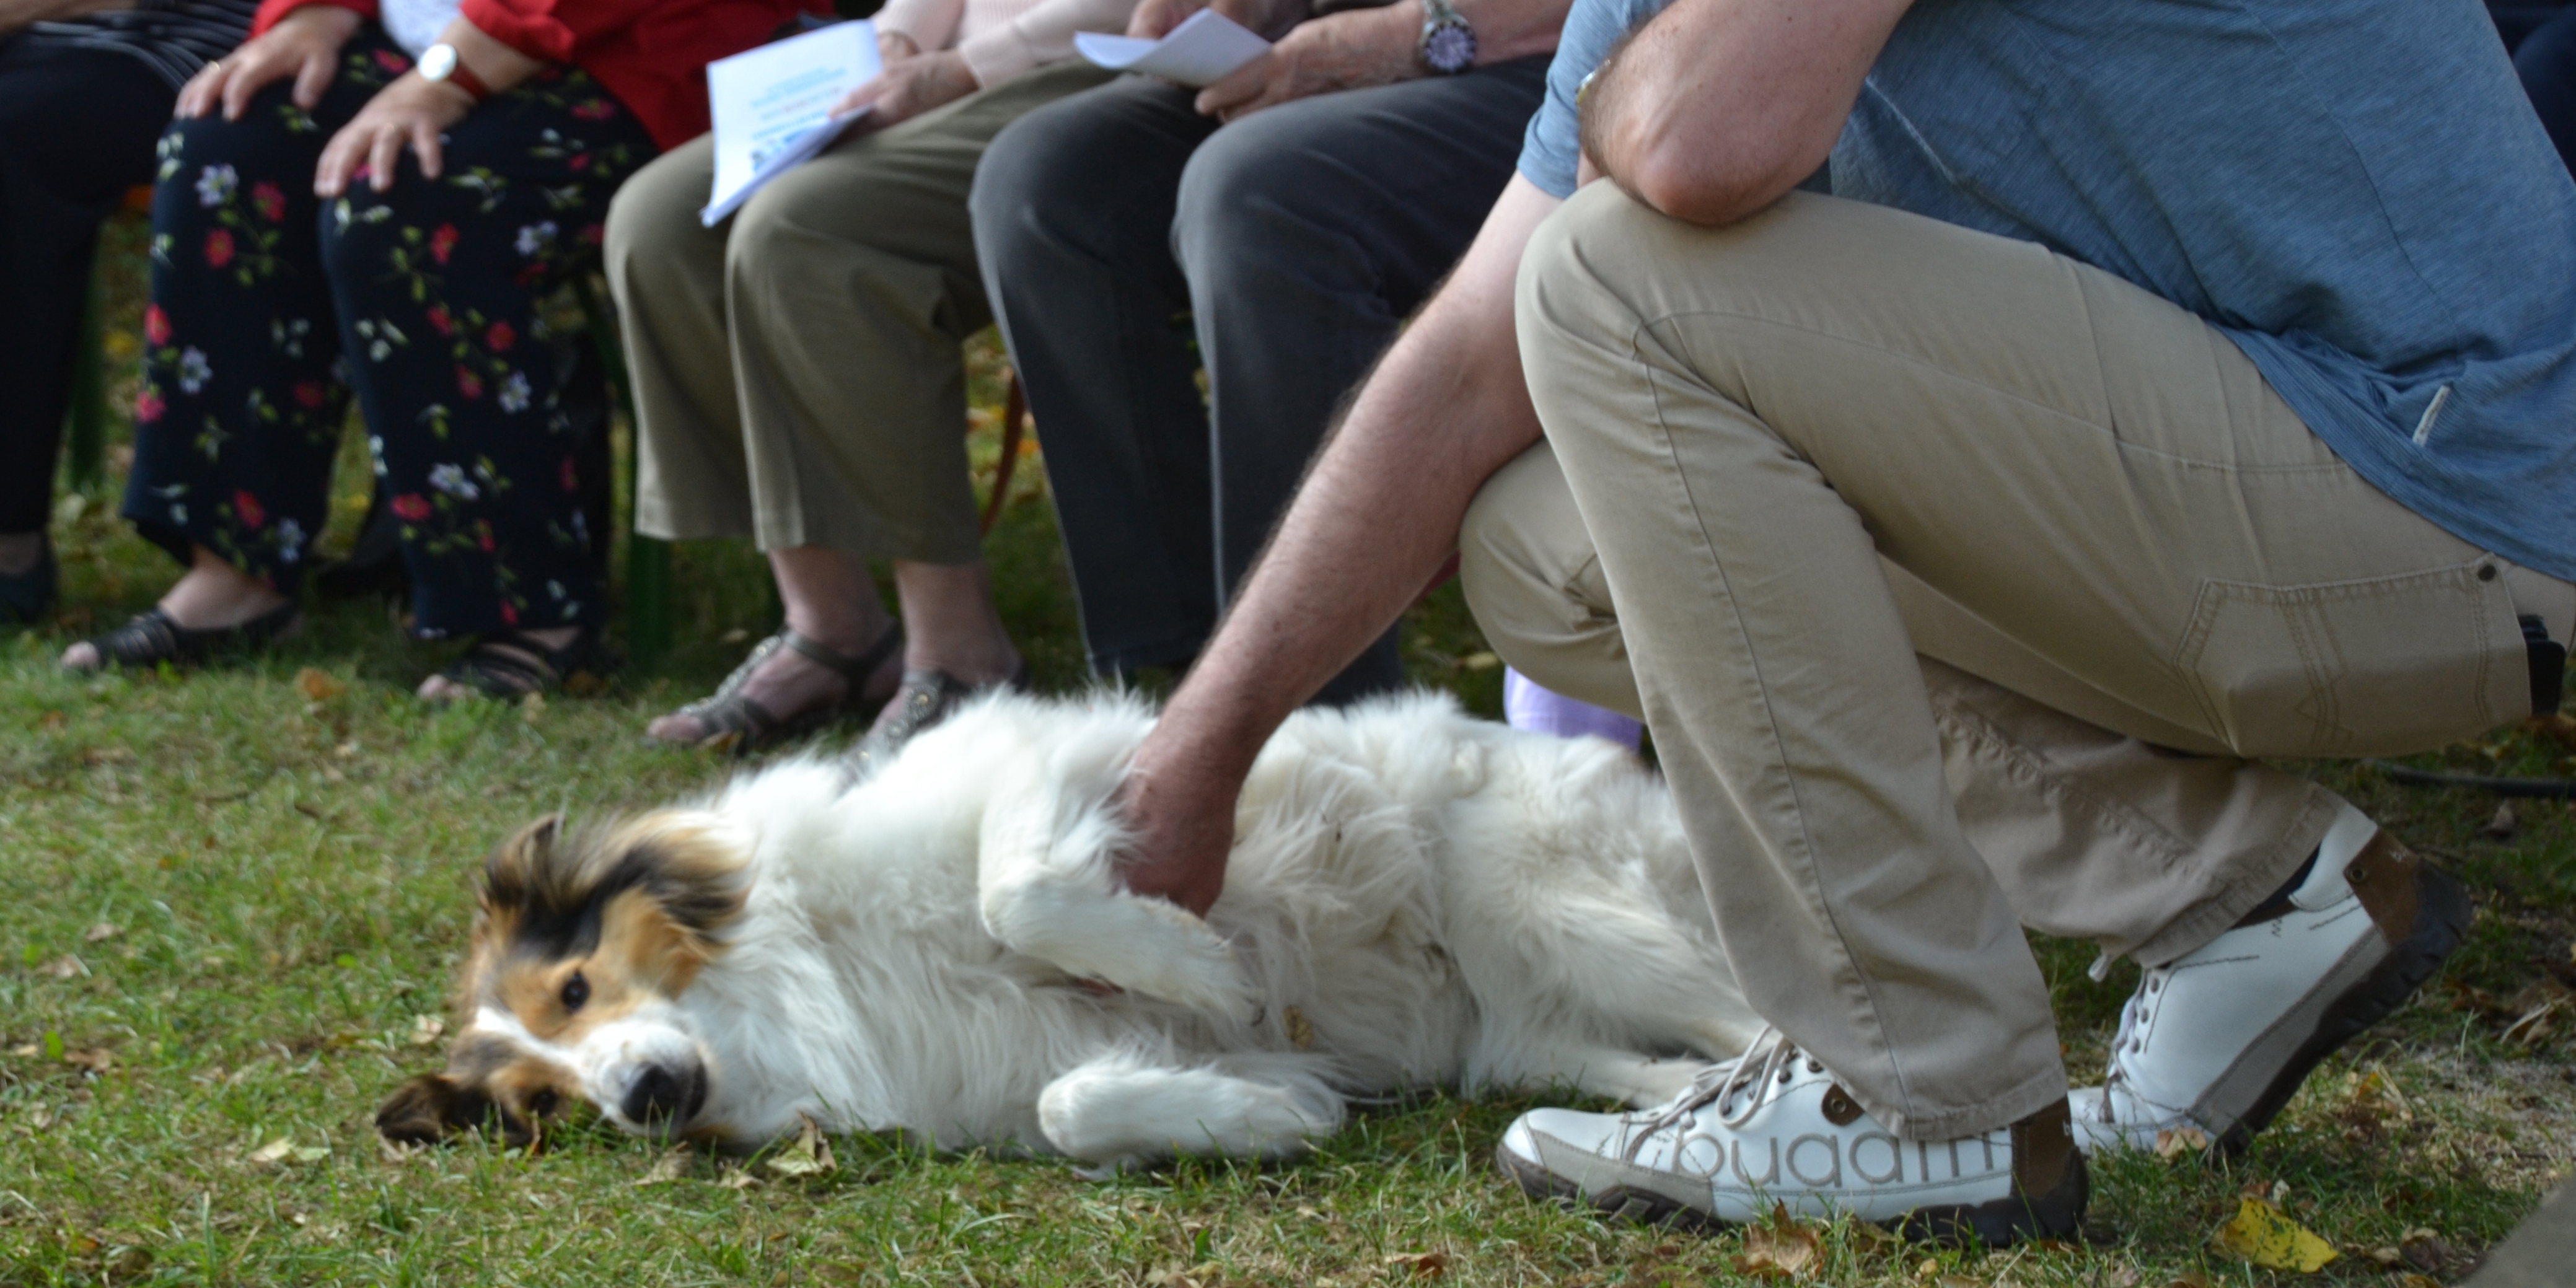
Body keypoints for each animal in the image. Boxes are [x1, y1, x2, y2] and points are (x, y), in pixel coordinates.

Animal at [376, 695, 1751, 1169]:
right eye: (540, 1105)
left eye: (572, 986)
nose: (639, 1098)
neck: (800, 973)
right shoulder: (1012, 1074)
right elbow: (1071, 1103)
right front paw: (1262, 1112)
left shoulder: (1063, 763)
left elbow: (1019, 890)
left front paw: (1193, 964)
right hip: (1531, 1030)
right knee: (1669, 1060)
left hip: (1553, 903)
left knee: (1760, 1014)